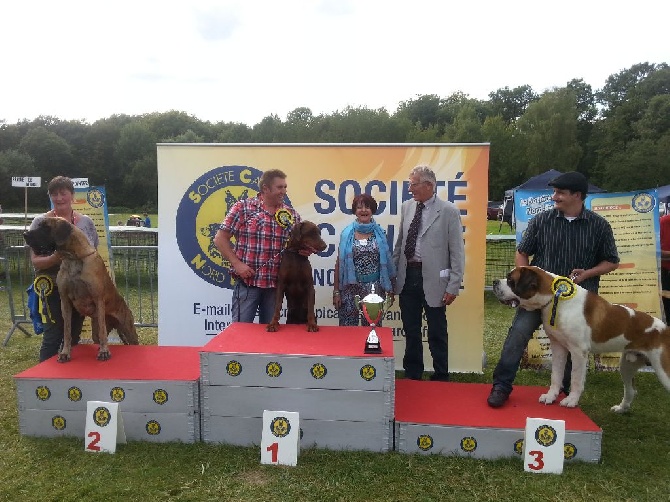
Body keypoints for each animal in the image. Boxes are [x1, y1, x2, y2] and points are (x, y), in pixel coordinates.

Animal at [23, 216, 139, 360]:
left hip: (128, 329)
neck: (73, 258)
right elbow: (67, 331)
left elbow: (102, 331)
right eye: (38, 225)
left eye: (46, 227)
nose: (25, 234)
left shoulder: (98, 299)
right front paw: (65, 352)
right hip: (97, 330)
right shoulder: (65, 301)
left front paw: (104, 352)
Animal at [494, 264, 670, 414]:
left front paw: (571, 400)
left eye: (511, 280)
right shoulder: (558, 348)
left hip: (663, 371)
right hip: (627, 365)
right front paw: (551, 396)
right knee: (631, 390)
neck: (555, 298)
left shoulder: (578, 352)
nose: (495, 282)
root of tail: (665, 329)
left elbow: (576, 378)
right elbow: (556, 375)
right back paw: (621, 409)